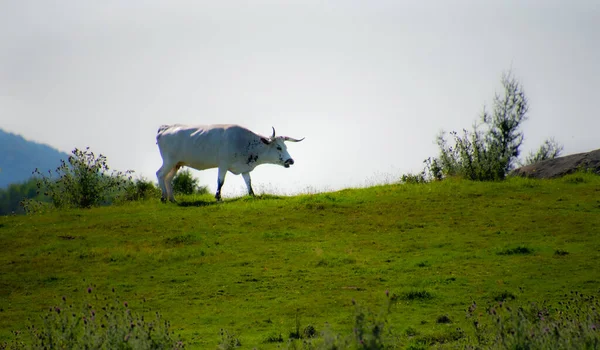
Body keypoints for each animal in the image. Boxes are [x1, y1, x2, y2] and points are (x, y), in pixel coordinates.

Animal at [156, 123, 304, 201]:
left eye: (286, 147)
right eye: (278, 147)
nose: (290, 160)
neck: (243, 142)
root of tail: (166, 128)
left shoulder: (244, 169)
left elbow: (249, 182)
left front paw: (252, 195)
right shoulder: (223, 165)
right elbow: (220, 181)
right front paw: (218, 197)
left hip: (176, 164)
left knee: (168, 178)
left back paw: (172, 199)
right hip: (169, 161)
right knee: (160, 174)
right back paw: (163, 197)